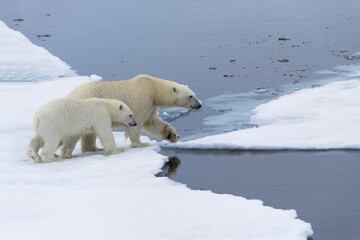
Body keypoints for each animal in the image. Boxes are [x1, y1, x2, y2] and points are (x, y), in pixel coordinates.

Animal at [67, 74, 202, 151]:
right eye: (190, 96)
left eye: (194, 94)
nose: (199, 105)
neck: (153, 88)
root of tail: (69, 94)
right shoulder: (142, 98)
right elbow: (137, 122)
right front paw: (141, 144)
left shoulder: (152, 104)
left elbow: (152, 122)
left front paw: (172, 135)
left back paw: (93, 148)